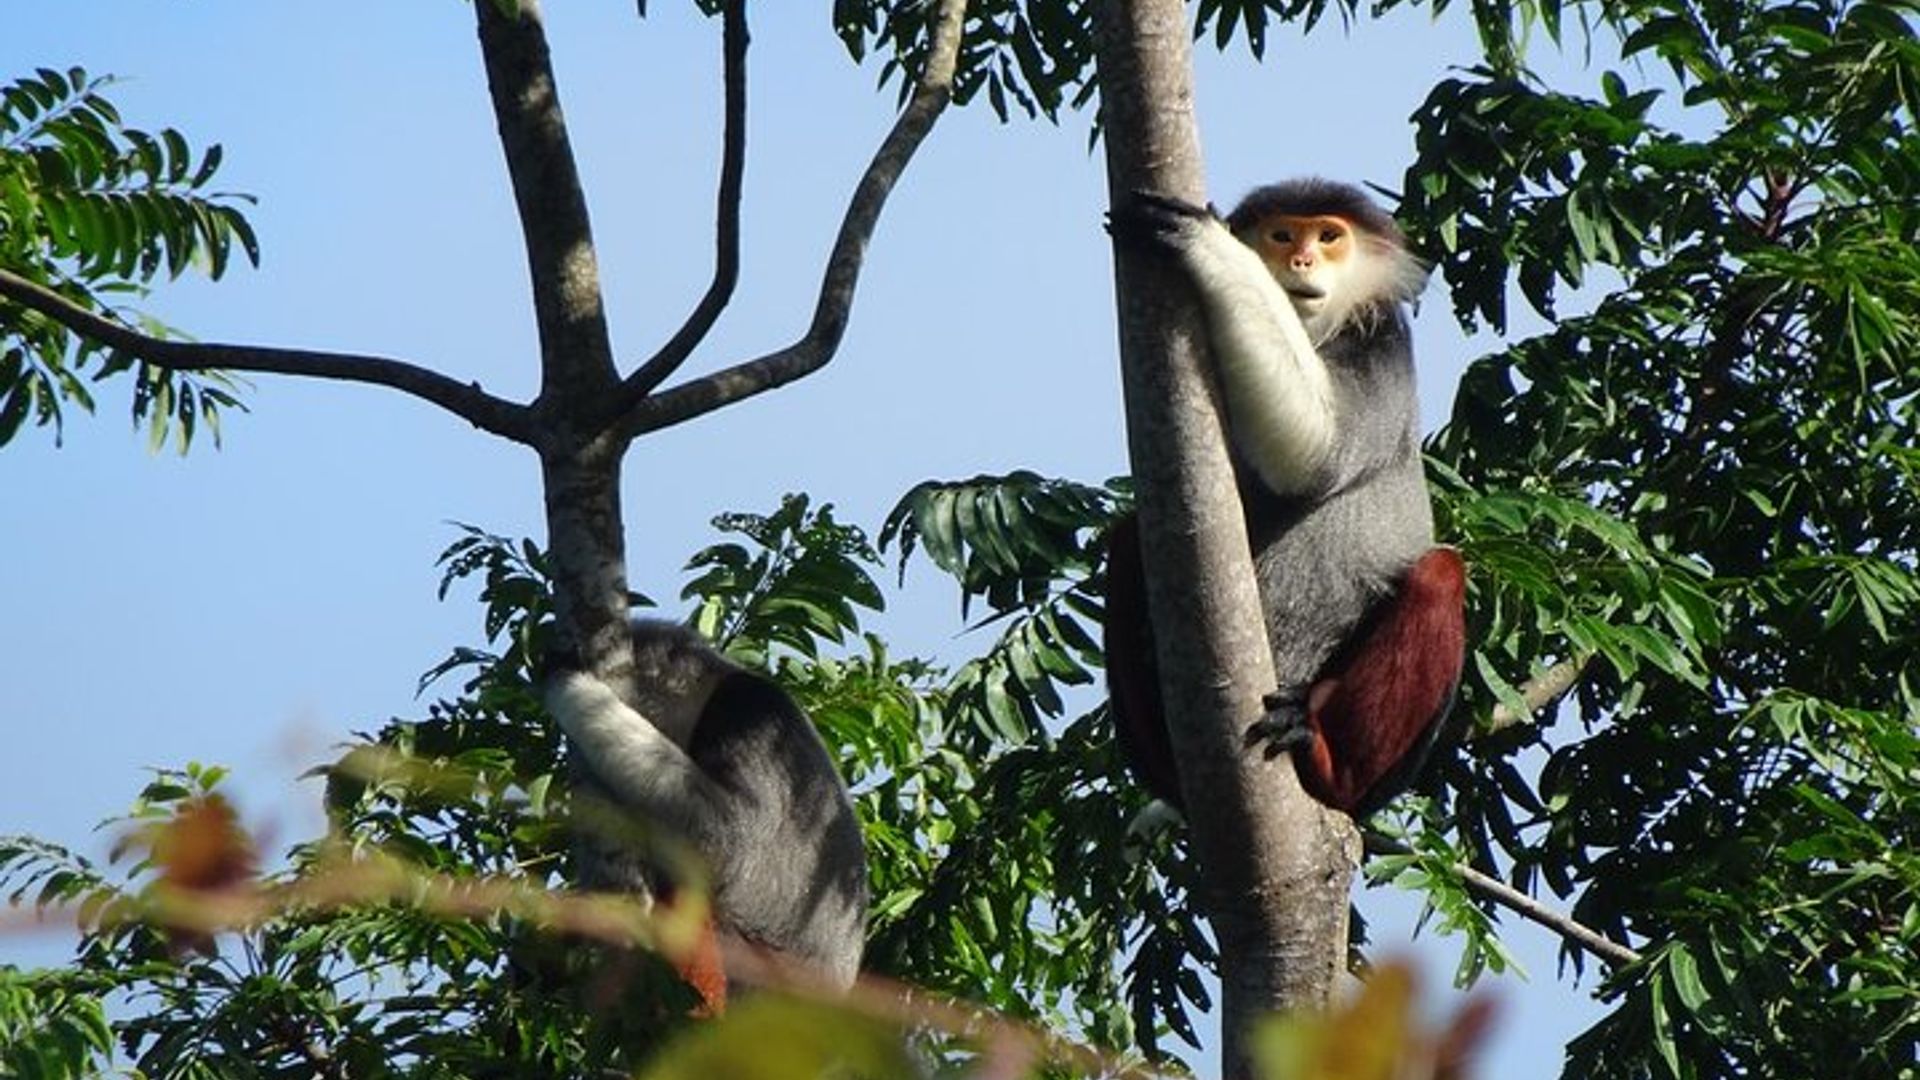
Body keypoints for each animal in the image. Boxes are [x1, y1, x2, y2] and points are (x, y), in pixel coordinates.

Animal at [1103, 178, 1467, 818]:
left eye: (1328, 237)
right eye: (1281, 234)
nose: (1301, 260)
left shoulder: (1380, 345)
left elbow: (1319, 455)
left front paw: (1209, 241)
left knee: (1440, 573)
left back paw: (1322, 755)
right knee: (1126, 541)